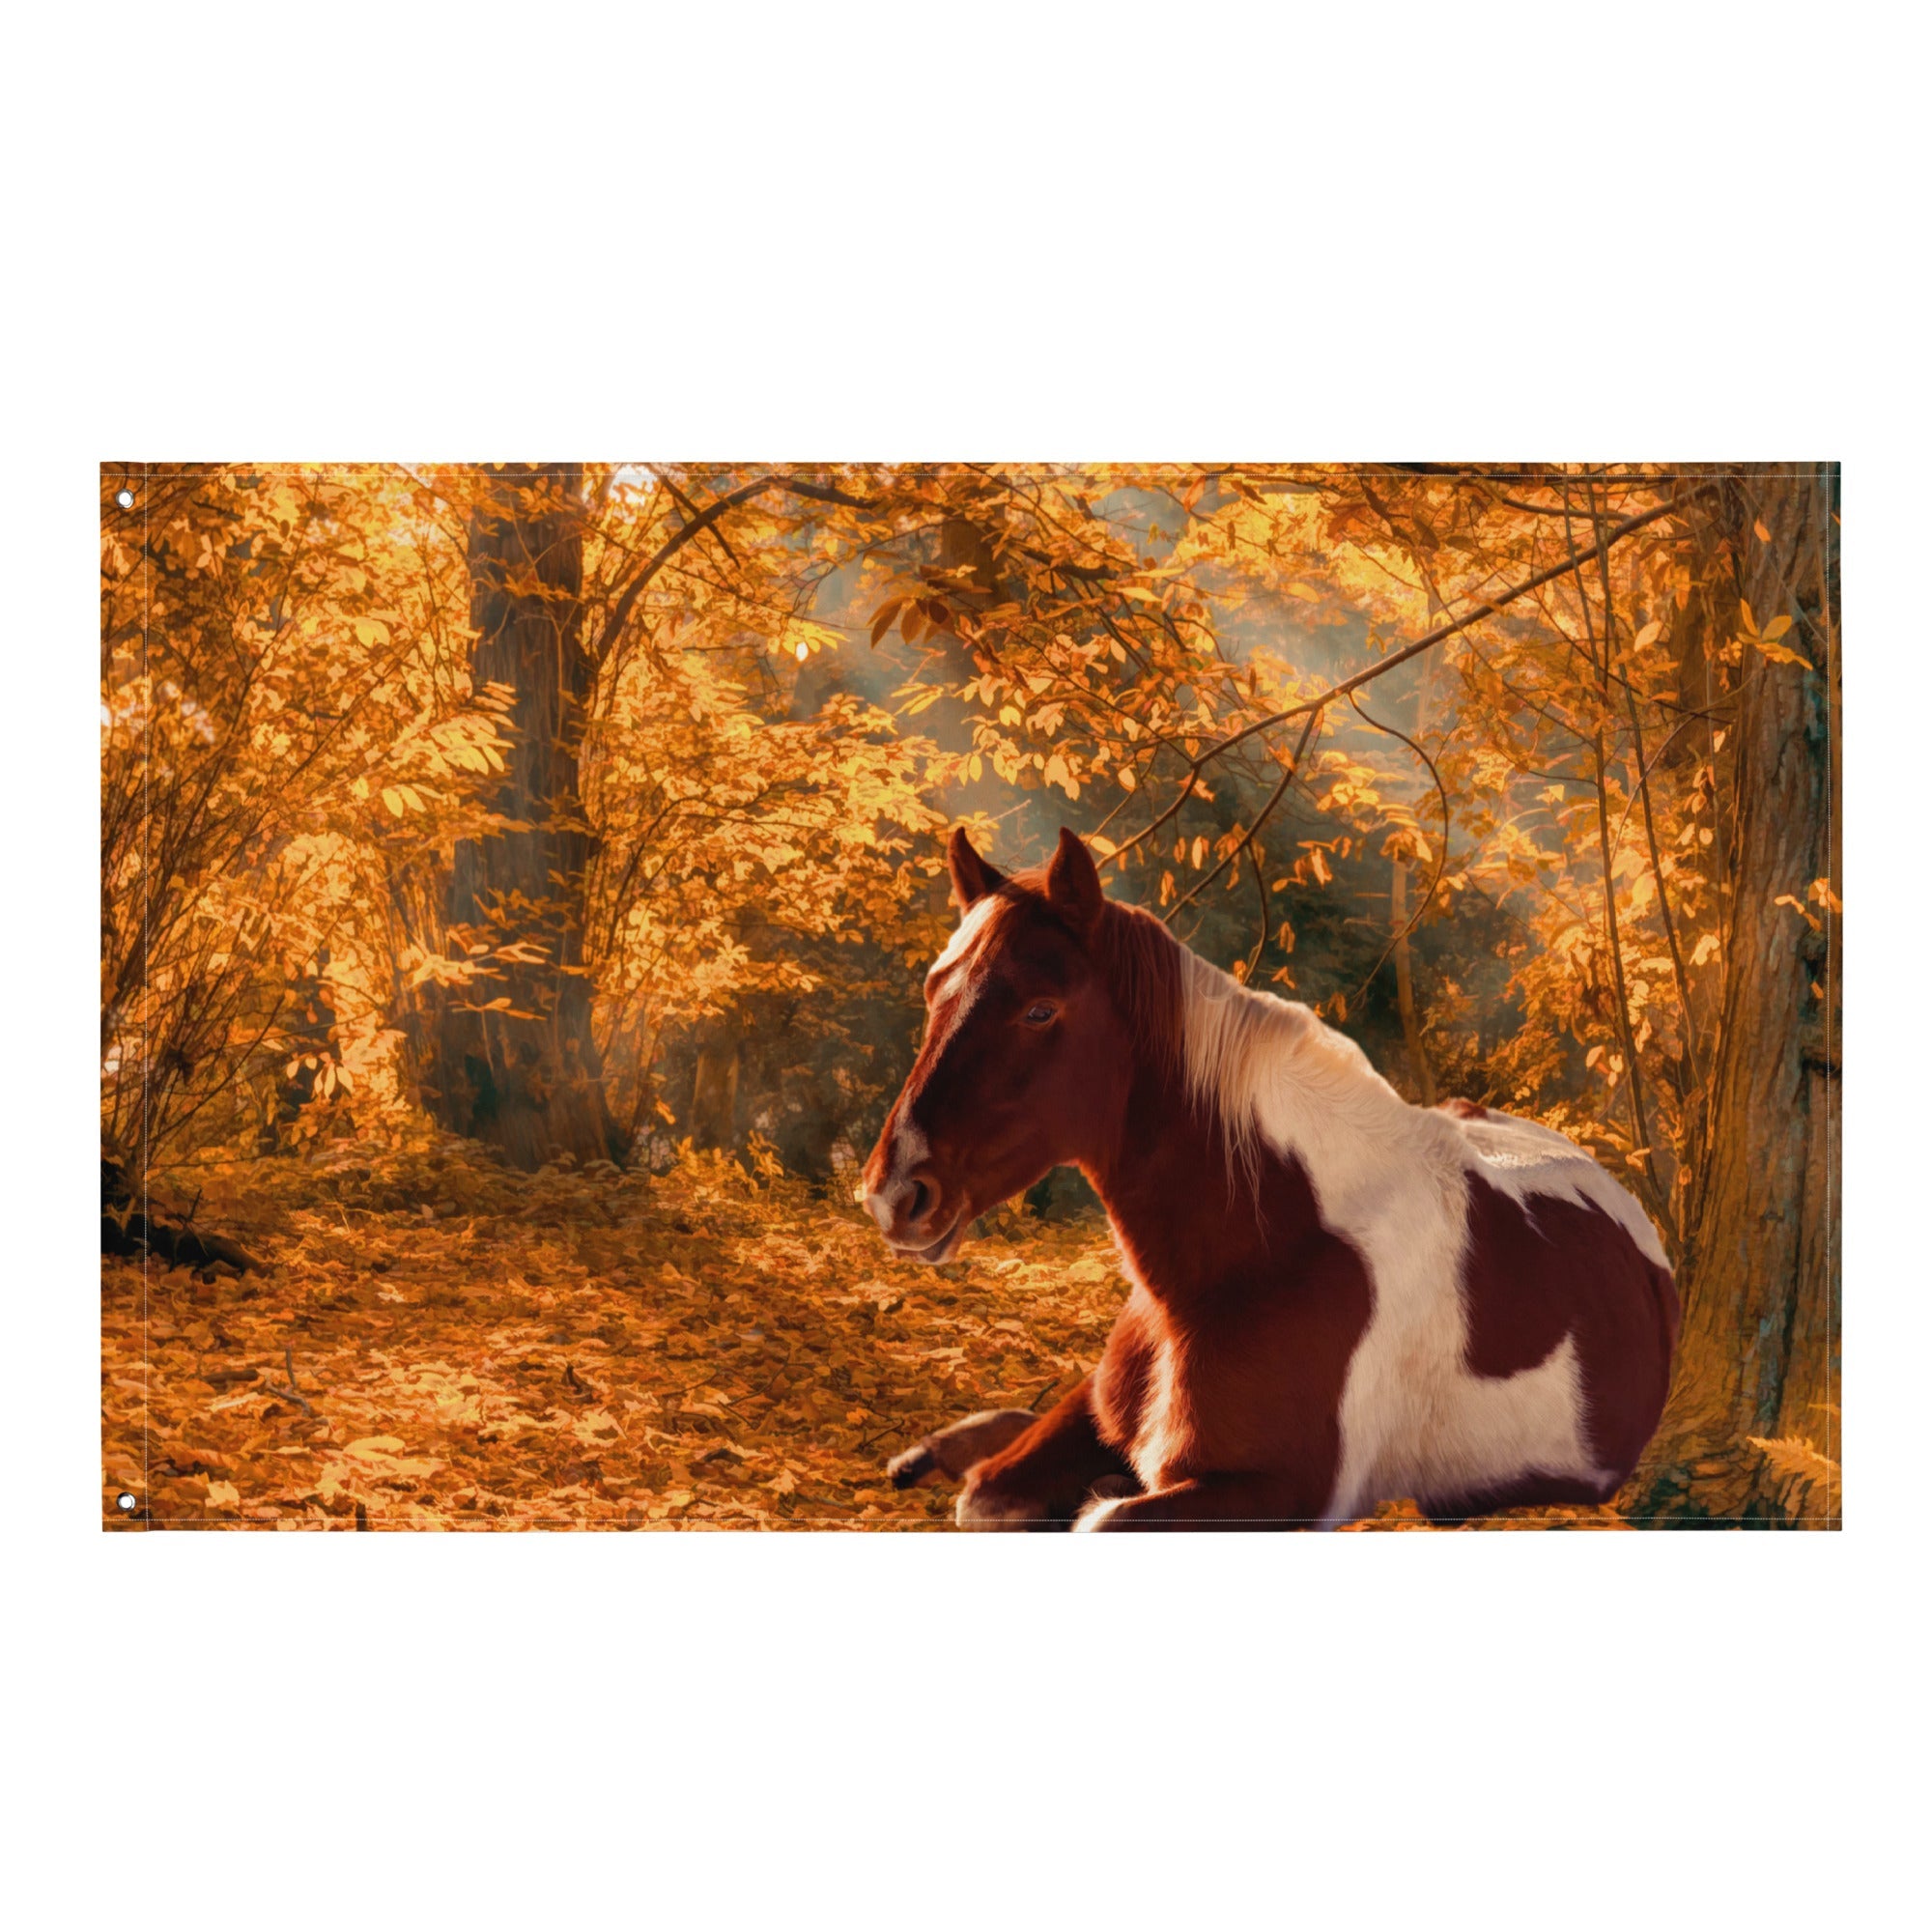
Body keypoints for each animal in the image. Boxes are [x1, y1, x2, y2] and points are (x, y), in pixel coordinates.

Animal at [861, 825, 1680, 1530]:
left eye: (1039, 1010)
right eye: (934, 990)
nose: (895, 1193)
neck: (1260, 1251)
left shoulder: (1279, 1493)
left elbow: (1092, 1515)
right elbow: (989, 1496)